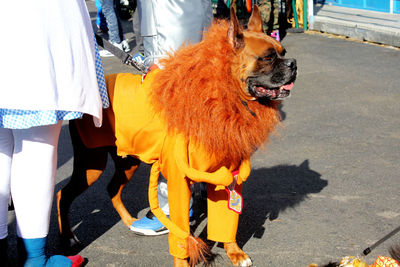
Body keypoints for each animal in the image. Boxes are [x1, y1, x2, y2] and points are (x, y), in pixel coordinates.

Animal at [57, 6, 296, 267]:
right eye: (268, 58)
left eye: (283, 52)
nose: (293, 63)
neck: (224, 95)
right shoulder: (179, 181)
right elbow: (182, 232)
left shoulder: (228, 176)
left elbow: (227, 220)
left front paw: (235, 253)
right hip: (91, 164)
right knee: (63, 194)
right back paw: (68, 239)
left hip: (126, 161)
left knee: (112, 188)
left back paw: (130, 221)